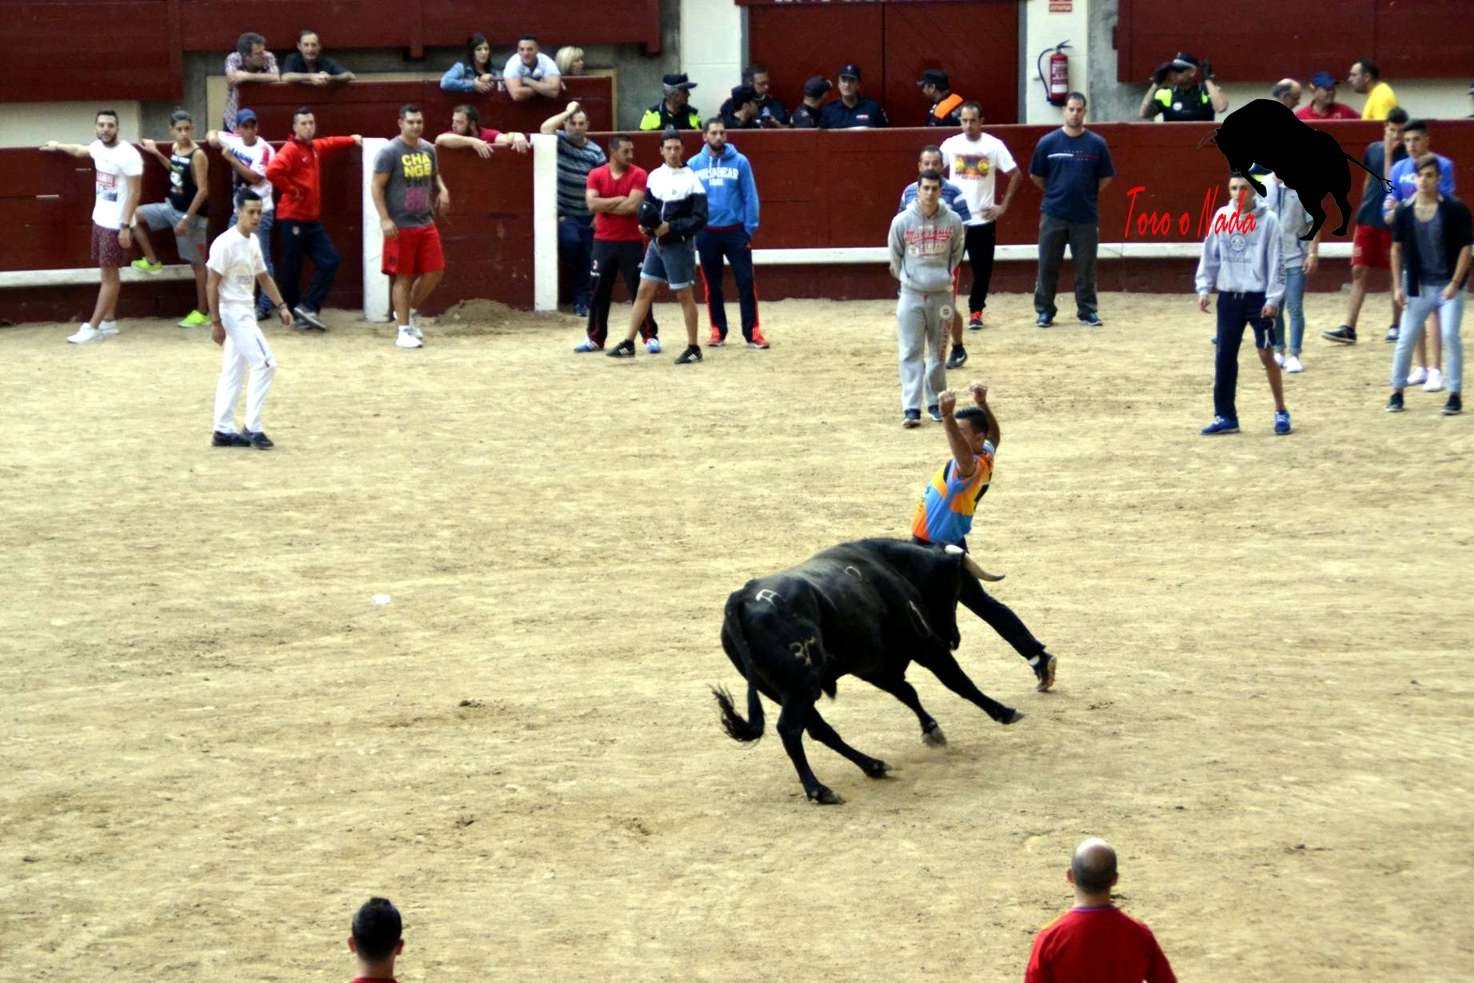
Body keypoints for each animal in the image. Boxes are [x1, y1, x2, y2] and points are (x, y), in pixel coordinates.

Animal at [711, 537, 1024, 805]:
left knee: (819, 730)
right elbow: (958, 682)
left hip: (784, 692)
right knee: (790, 730)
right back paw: (819, 790)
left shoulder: (874, 667)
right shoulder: (924, 644)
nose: (953, 639)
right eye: (956, 587)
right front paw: (1005, 712)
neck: (888, 566)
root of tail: (741, 598)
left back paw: (873, 765)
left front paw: (931, 730)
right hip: (801, 687)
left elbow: (907, 692)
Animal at [1203, 98, 1392, 240]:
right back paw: (1338, 231)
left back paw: (1307, 236)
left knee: (1321, 214)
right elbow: (1247, 171)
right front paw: (1262, 188)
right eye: (1222, 149)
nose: (1232, 168)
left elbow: (1247, 170)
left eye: (1230, 147)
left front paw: (1262, 189)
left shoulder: (1258, 155)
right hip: (1337, 190)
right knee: (1344, 208)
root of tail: (1338, 152)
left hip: (1308, 194)